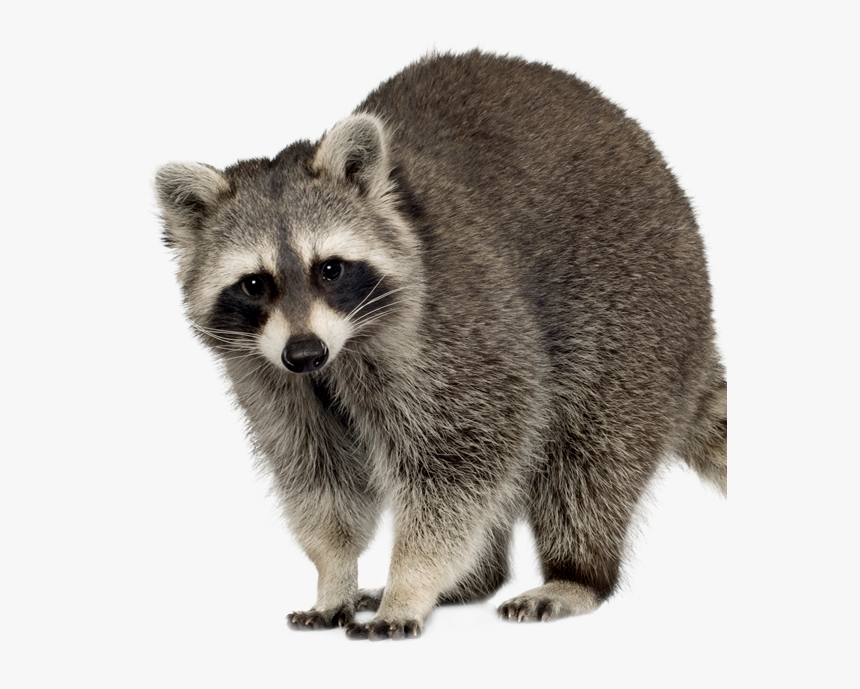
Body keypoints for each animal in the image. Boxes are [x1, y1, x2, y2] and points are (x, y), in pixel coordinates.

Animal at [155, 51, 727, 640]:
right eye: (253, 284)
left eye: (330, 269)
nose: (306, 354)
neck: (342, 348)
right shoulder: (266, 374)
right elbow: (317, 472)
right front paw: (334, 574)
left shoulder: (456, 332)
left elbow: (460, 460)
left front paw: (411, 582)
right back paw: (475, 579)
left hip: (635, 316)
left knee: (590, 457)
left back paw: (576, 574)